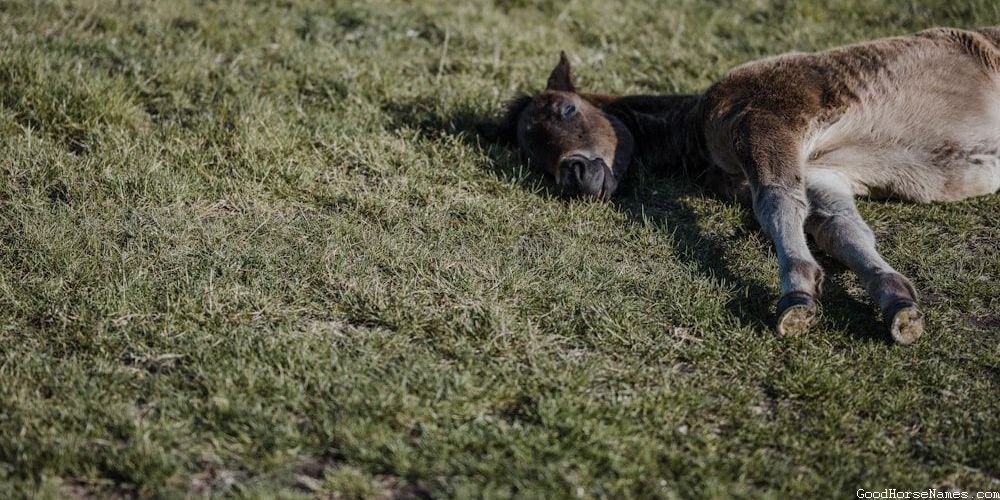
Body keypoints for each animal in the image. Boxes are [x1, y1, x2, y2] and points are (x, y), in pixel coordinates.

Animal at [490, 27, 1000, 344]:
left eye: (566, 110)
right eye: (532, 156)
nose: (575, 176)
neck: (697, 131)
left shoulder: (765, 122)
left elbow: (776, 204)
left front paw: (797, 295)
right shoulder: (823, 174)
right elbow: (843, 231)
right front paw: (898, 303)